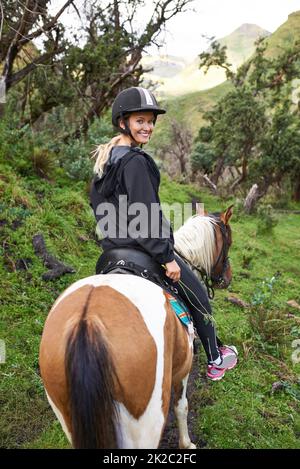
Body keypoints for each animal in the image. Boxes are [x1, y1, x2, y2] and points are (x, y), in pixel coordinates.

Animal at [38, 204, 233, 446]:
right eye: (229, 242)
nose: (227, 278)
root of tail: (88, 322)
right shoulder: (182, 370)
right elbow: (181, 407)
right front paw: (187, 443)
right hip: (146, 422)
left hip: (68, 416)